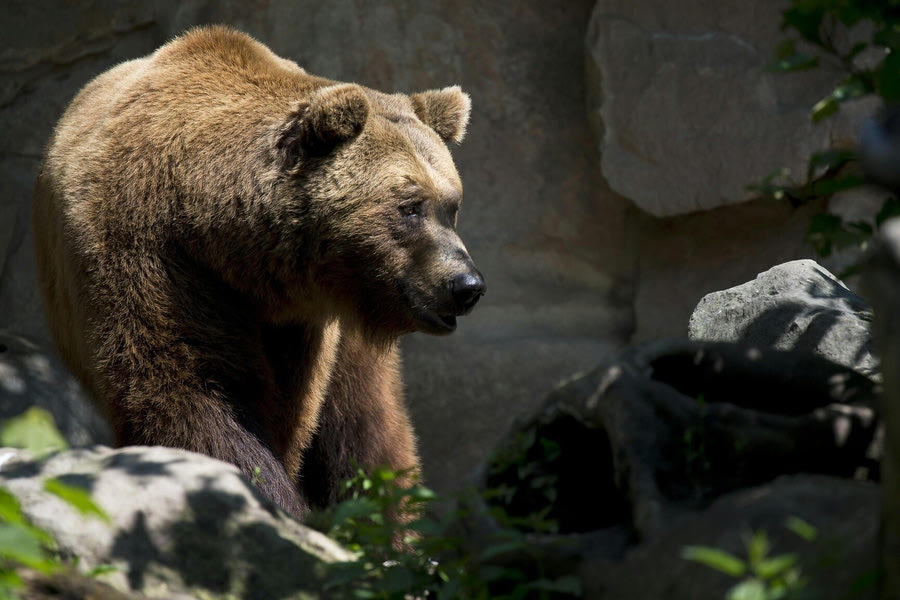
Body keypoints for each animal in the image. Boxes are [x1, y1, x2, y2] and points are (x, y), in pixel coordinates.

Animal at [31, 25, 486, 516]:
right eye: (410, 206)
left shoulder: (304, 327)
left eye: (452, 205)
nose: (466, 285)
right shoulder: (154, 257)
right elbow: (194, 393)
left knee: (366, 427)